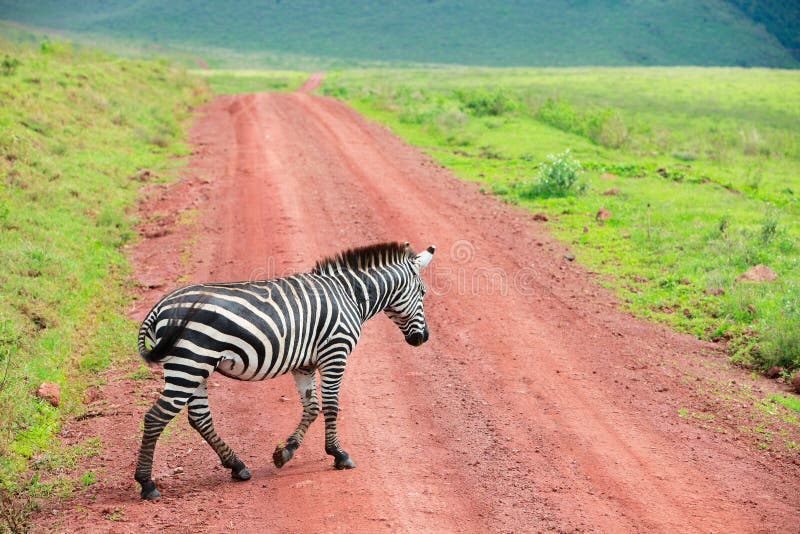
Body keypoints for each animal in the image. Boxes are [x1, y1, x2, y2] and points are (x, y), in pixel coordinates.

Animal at [134, 243, 434, 502]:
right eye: (422, 293)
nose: (424, 338)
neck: (349, 294)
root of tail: (159, 306)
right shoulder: (335, 352)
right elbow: (332, 405)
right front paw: (338, 454)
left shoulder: (305, 363)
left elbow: (312, 407)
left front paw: (285, 452)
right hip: (190, 362)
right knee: (156, 417)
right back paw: (147, 484)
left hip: (196, 367)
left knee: (199, 418)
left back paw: (237, 466)